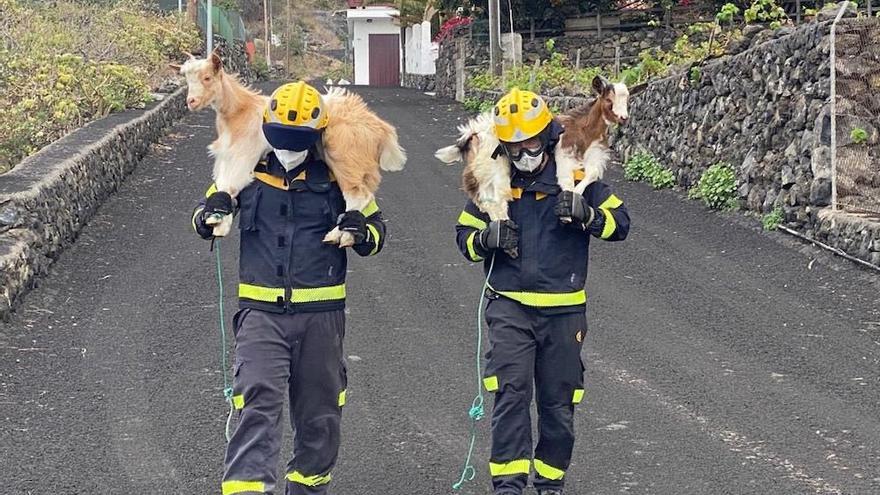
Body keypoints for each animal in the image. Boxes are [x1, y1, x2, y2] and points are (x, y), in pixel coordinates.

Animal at [174, 53, 406, 245]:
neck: (239, 111)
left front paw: (219, 224)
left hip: (344, 156)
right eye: (187, 80)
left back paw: (341, 235)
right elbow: (221, 187)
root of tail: (380, 127)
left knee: (359, 195)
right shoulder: (226, 157)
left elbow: (231, 184)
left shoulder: (243, 155)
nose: (191, 101)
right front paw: (216, 218)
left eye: (207, 78)